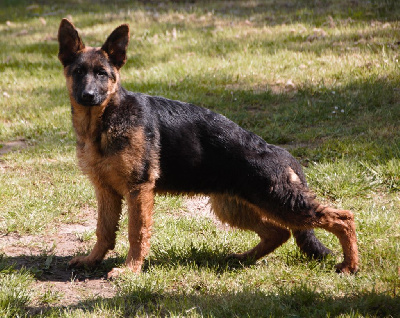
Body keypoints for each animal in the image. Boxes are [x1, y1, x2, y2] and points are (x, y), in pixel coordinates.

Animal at [57, 19, 360, 278]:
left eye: (102, 74)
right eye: (78, 72)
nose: (88, 96)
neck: (104, 122)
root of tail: (278, 151)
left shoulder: (138, 191)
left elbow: (137, 232)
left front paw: (131, 269)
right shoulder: (106, 191)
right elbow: (104, 230)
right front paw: (92, 260)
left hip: (280, 202)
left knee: (343, 218)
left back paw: (350, 265)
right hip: (234, 206)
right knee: (279, 233)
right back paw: (244, 259)